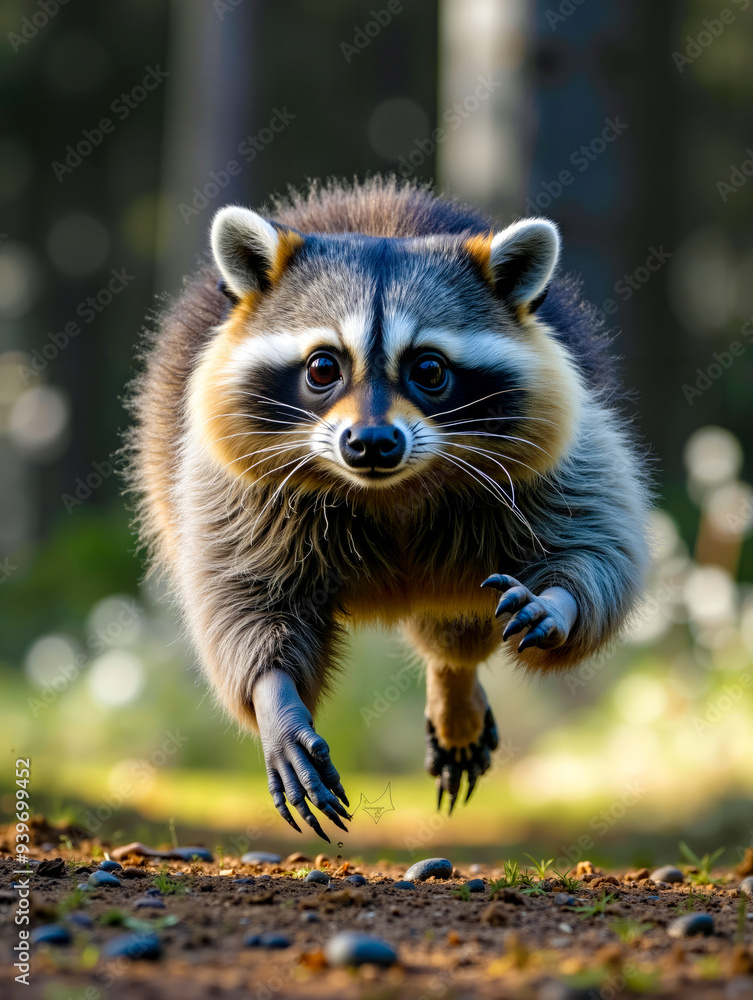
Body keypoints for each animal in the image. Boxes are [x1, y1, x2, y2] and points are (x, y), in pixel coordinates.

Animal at [126, 177, 650, 842]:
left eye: (428, 369)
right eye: (323, 367)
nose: (373, 442)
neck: (388, 488)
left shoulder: (560, 444)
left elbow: (595, 539)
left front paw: (558, 600)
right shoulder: (232, 486)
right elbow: (245, 596)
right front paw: (276, 697)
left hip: (454, 575)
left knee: (454, 624)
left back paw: (454, 682)